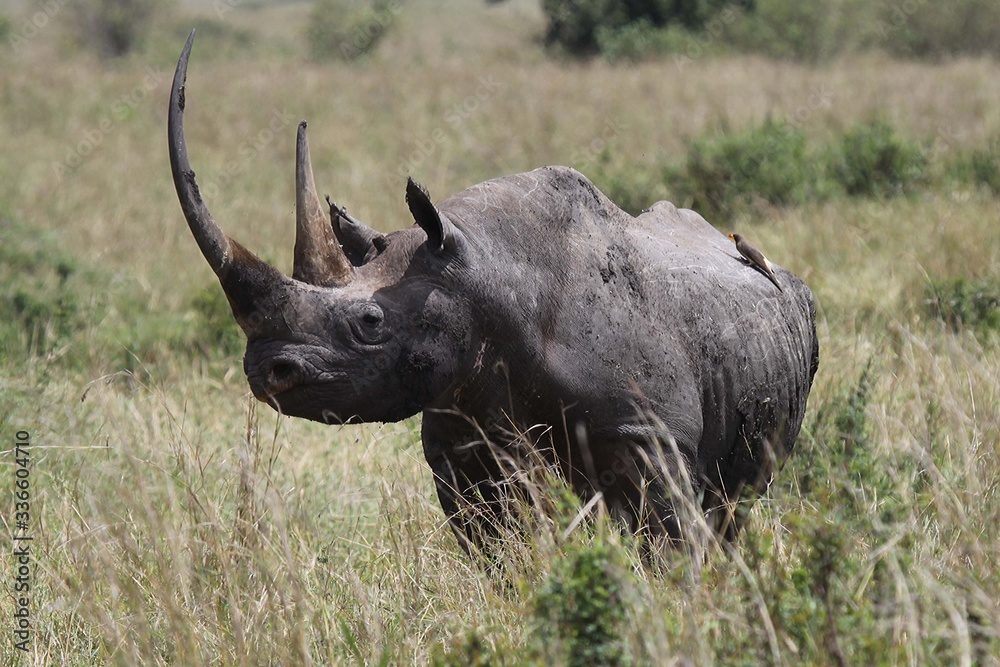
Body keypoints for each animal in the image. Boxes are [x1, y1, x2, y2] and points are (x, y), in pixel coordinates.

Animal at [168, 31, 818, 553]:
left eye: (371, 322)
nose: (264, 370)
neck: (487, 274)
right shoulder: (462, 440)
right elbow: (502, 550)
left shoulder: (648, 435)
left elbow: (668, 542)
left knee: (737, 504)